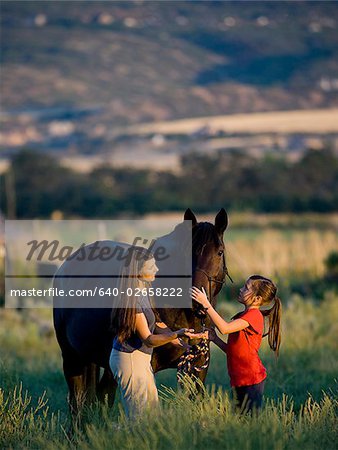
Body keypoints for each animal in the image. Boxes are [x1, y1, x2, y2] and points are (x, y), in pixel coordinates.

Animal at [52, 209, 230, 416]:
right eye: (187, 253)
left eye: (220, 252)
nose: (197, 301)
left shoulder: (197, 367)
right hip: (73, 358)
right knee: (80, 402)